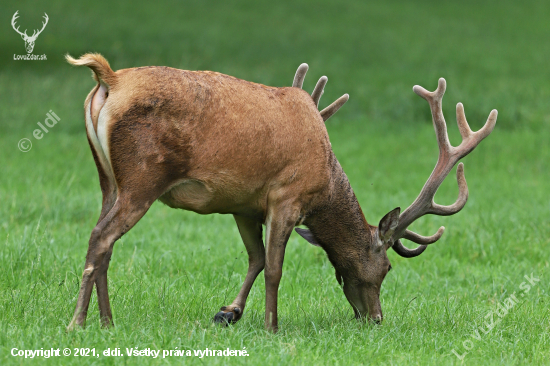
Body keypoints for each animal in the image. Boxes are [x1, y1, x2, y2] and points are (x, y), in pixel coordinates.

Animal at [67, 54, 498, 332]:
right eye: (387, 267)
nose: (376, 319)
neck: (325, 181)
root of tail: (109, 79)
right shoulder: (286, 196)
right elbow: (275, 266)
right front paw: (271, 326)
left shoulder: (243, 205)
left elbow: (255, 258)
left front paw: (229, 312)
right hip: (143, 177)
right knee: (100, 237)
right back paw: (78, 322)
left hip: (108, 179)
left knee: (103, 241)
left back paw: (106, 321)